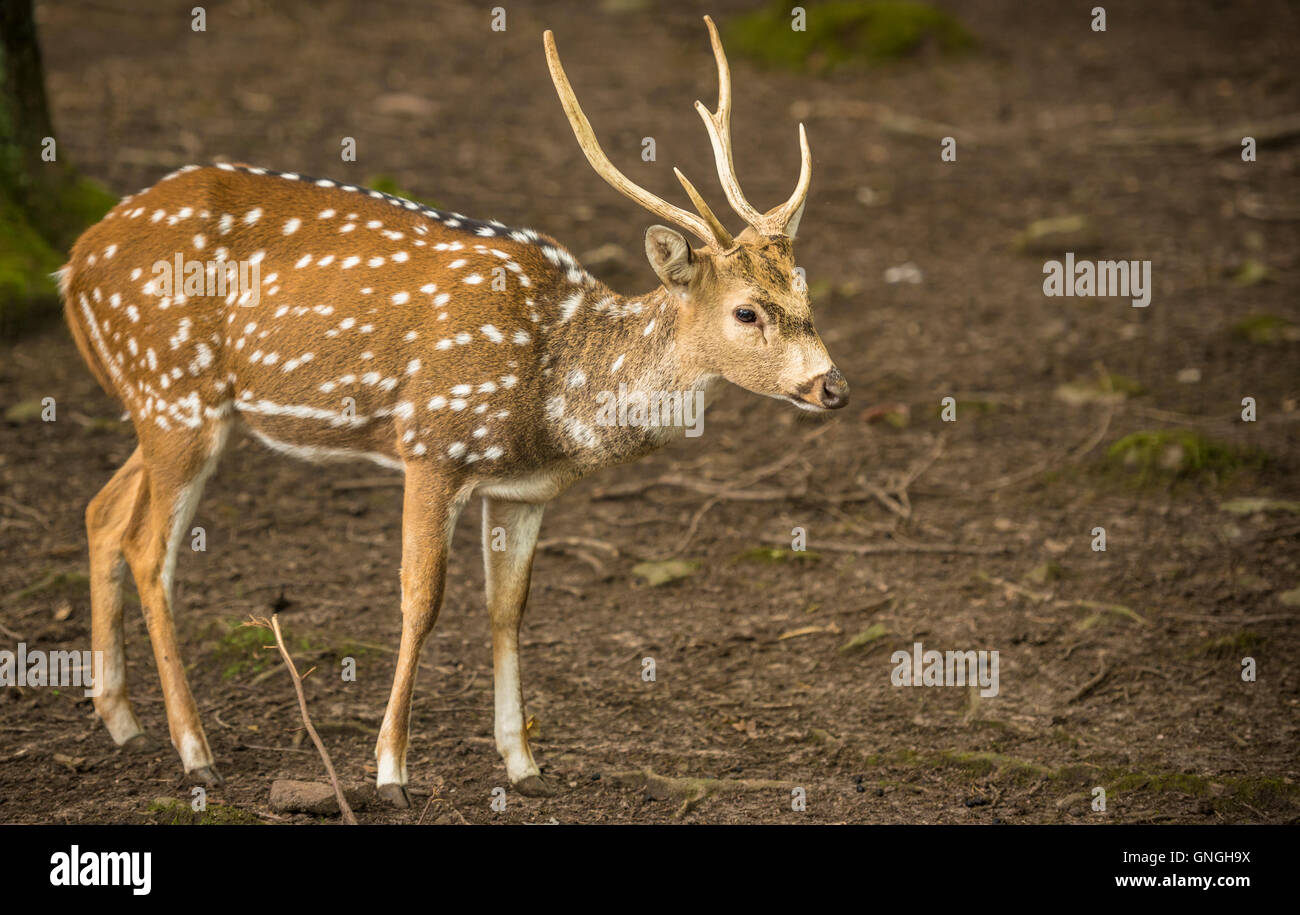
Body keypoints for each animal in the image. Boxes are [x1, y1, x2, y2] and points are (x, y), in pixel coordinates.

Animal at [60, 16, 848, 806]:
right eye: (746, 311)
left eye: (806, 292)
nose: (833, 386)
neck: (555, 390)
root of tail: (73, 263)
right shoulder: (431, 443)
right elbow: (422, 601)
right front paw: (391, 772)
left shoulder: (523, 490)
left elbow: (508, 608)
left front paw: (524, 763)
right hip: (174, 390)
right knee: (149, 548)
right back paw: (195, 751)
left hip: (174, 405)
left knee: (102, 510)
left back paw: (122, 721)